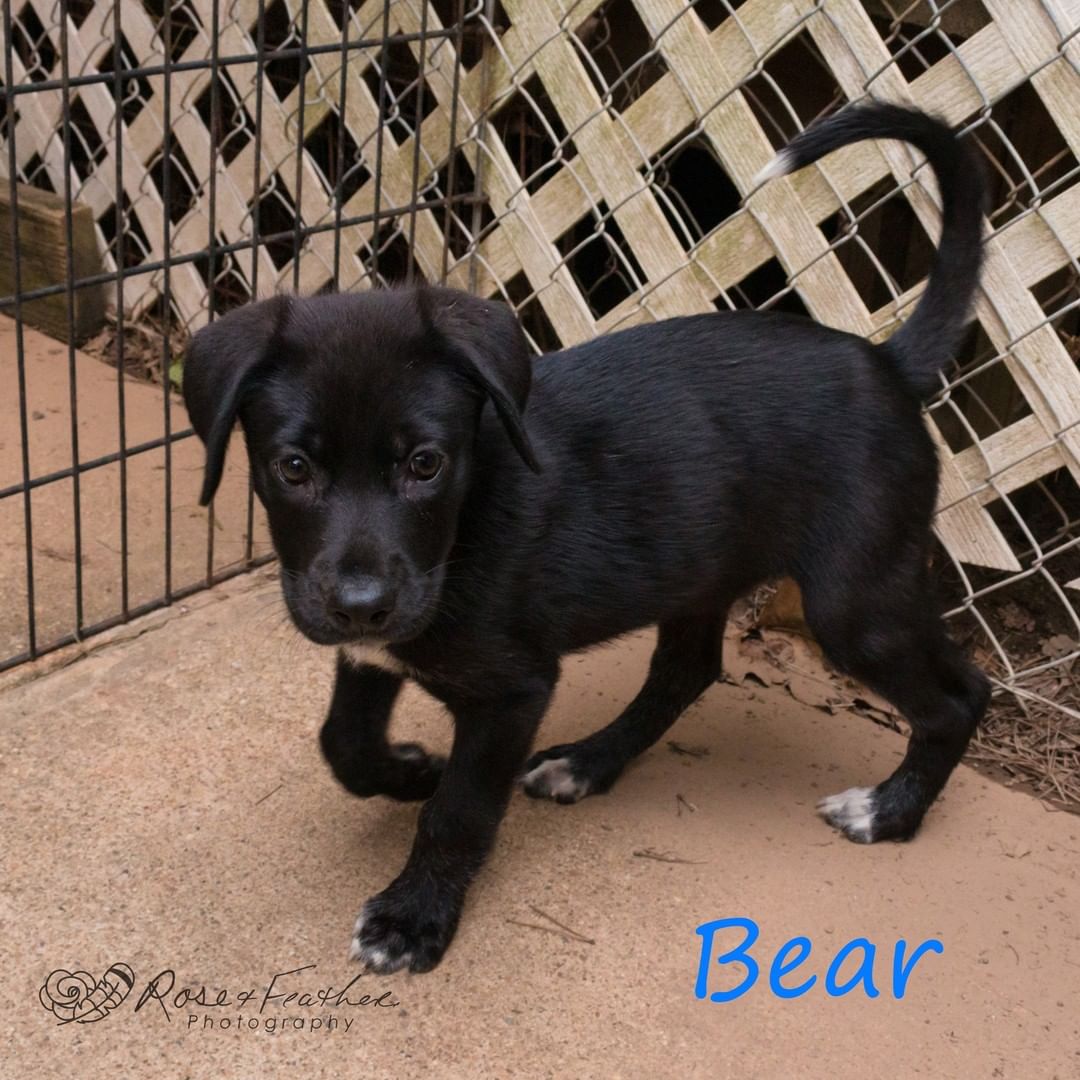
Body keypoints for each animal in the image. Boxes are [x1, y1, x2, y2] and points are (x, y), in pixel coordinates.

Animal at [183, 105, 989, 976]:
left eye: (426, 464)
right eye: (292, 468)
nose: (362, 605)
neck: (465, 524)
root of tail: (888, 363)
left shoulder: (512, 691)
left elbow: (459, 812)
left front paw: (413, 918)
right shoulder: (373, 649)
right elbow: (343, 743)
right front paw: (406, 771)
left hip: (855, 599)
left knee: (959, 697)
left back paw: (889, 813)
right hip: (706, 567)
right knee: (687, 671)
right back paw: (587, 764)